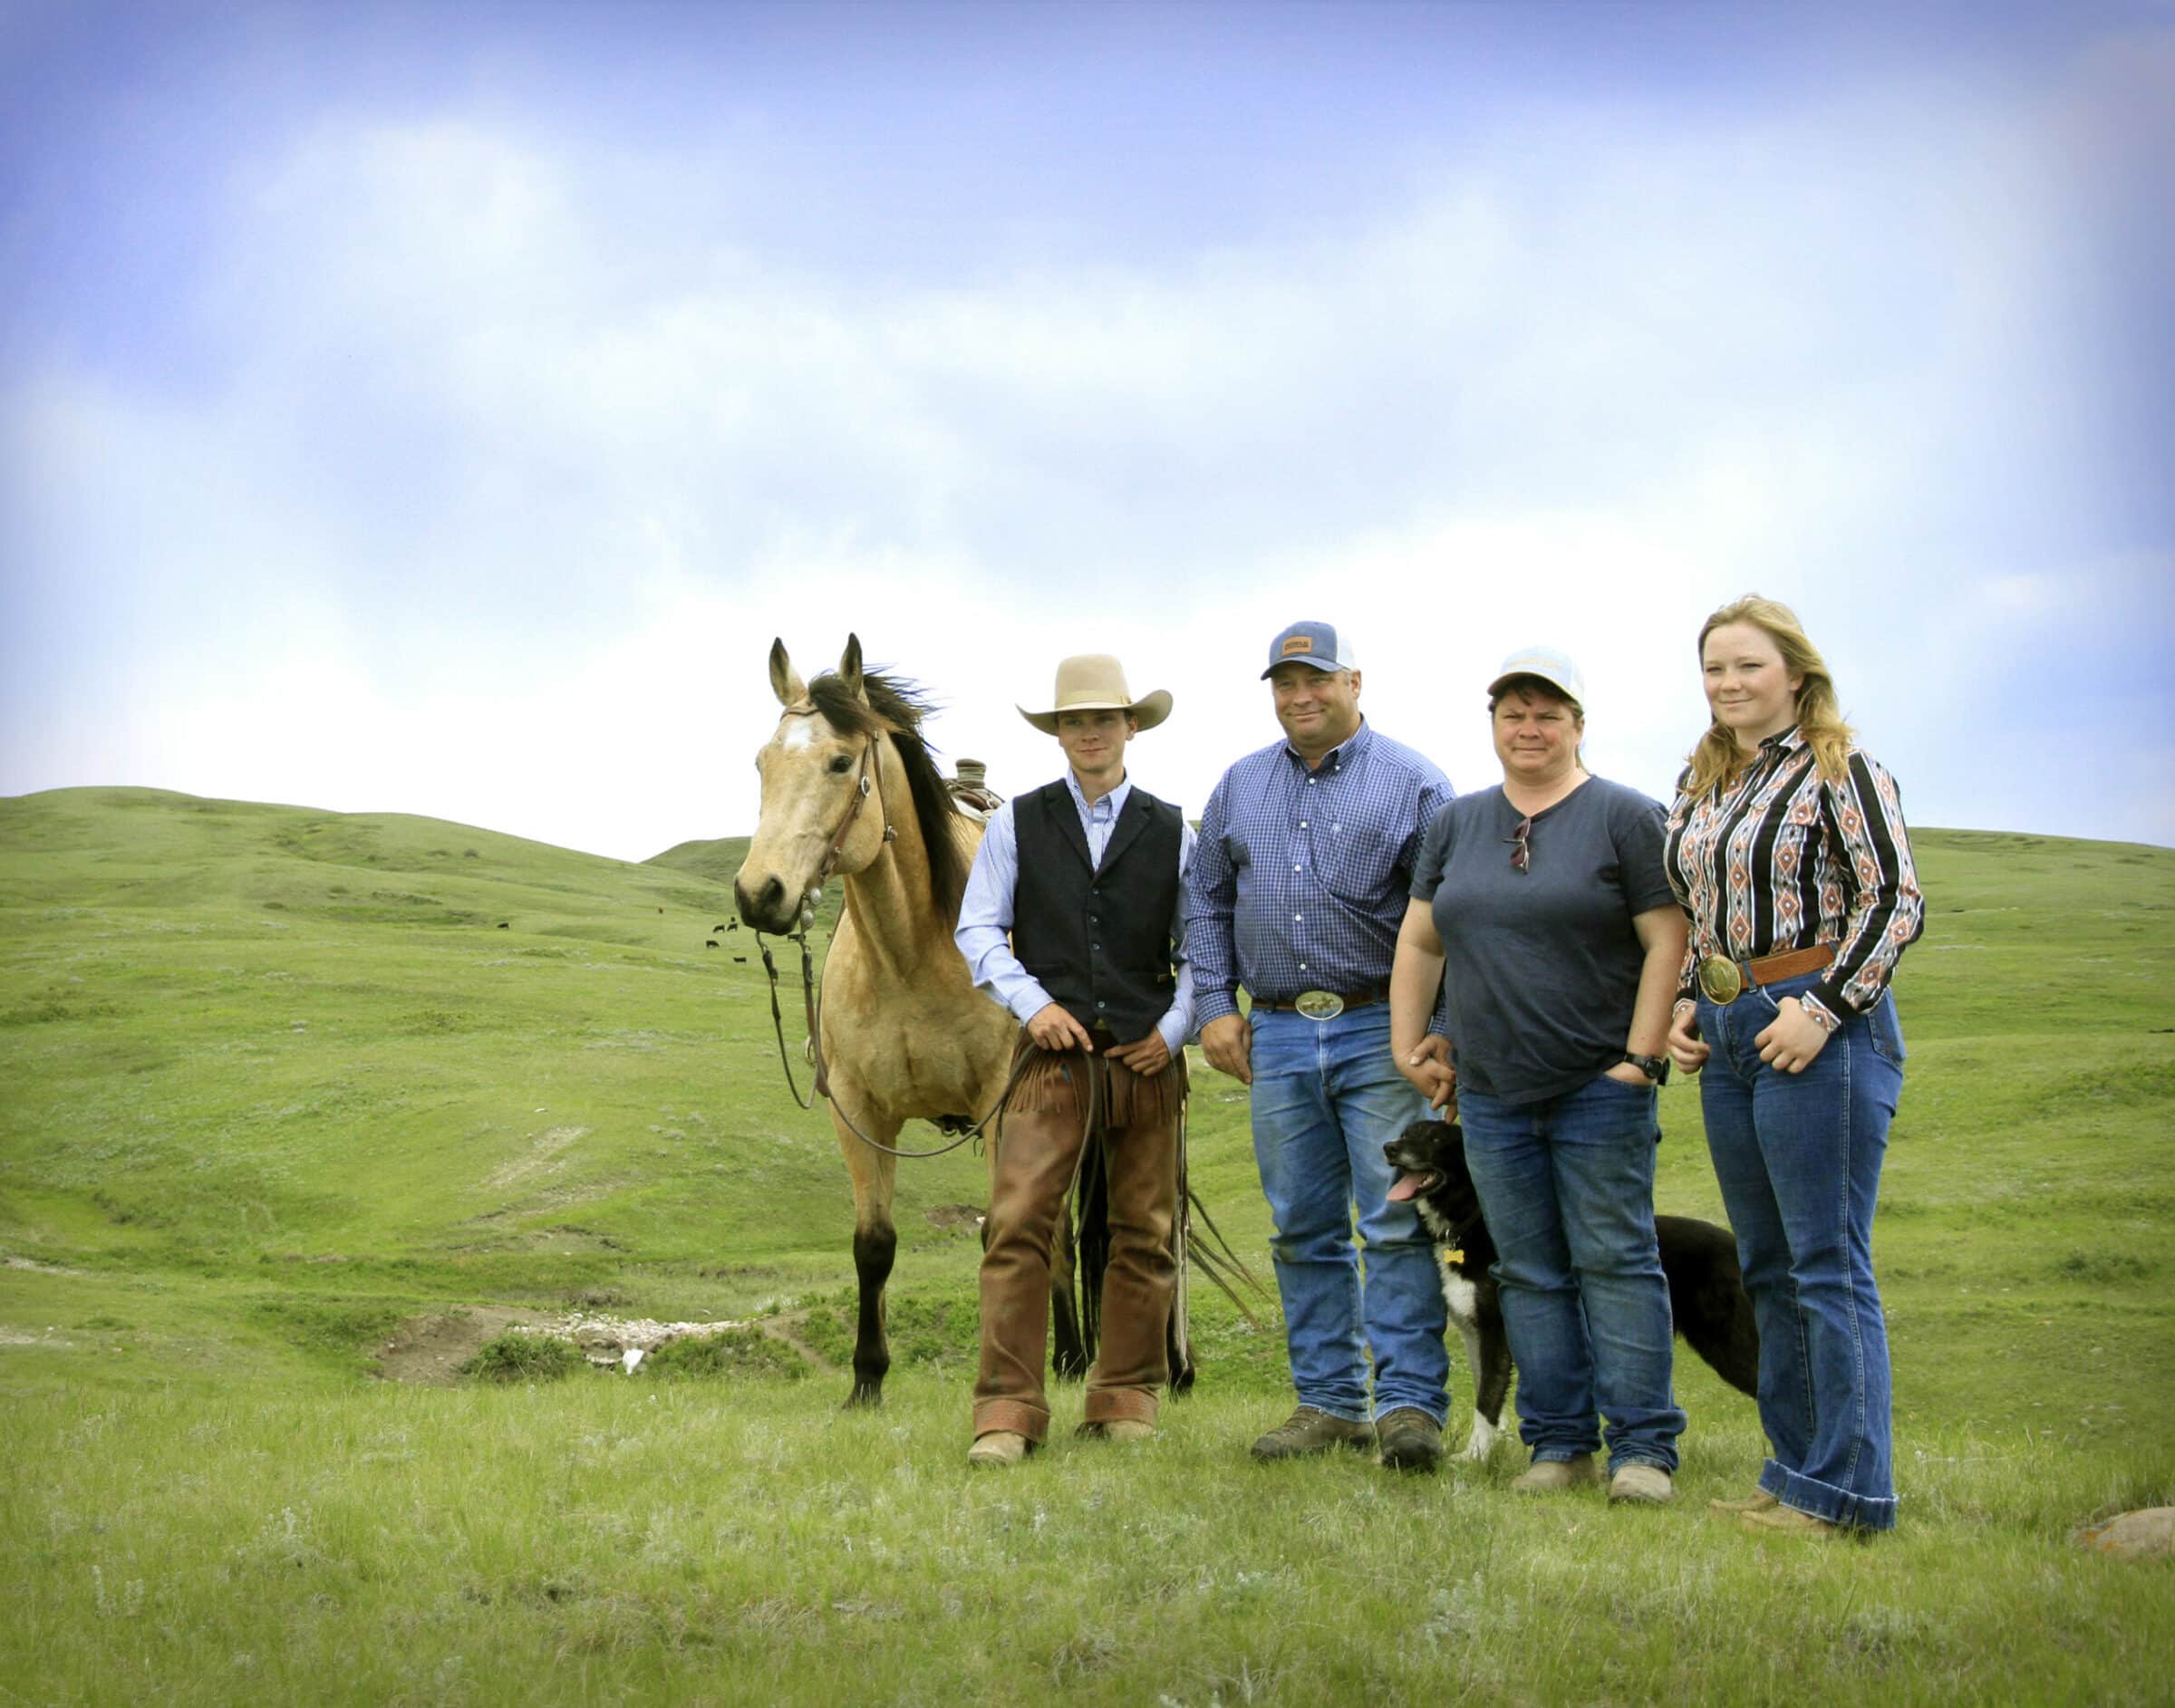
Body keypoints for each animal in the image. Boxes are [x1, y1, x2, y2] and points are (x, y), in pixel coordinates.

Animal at [1383, 1123, 1757, 1453]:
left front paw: (1474, 1457)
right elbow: (1487, 1395)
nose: (1389, 1148)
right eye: (1405, 1133)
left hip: (1731, 1344)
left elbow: (1486, 1400)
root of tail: (1736, 1247)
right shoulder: (1473, 1331)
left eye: (1434, 1138)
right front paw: (1492, 1452)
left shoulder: (1496, 1333)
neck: (1470, 1222)